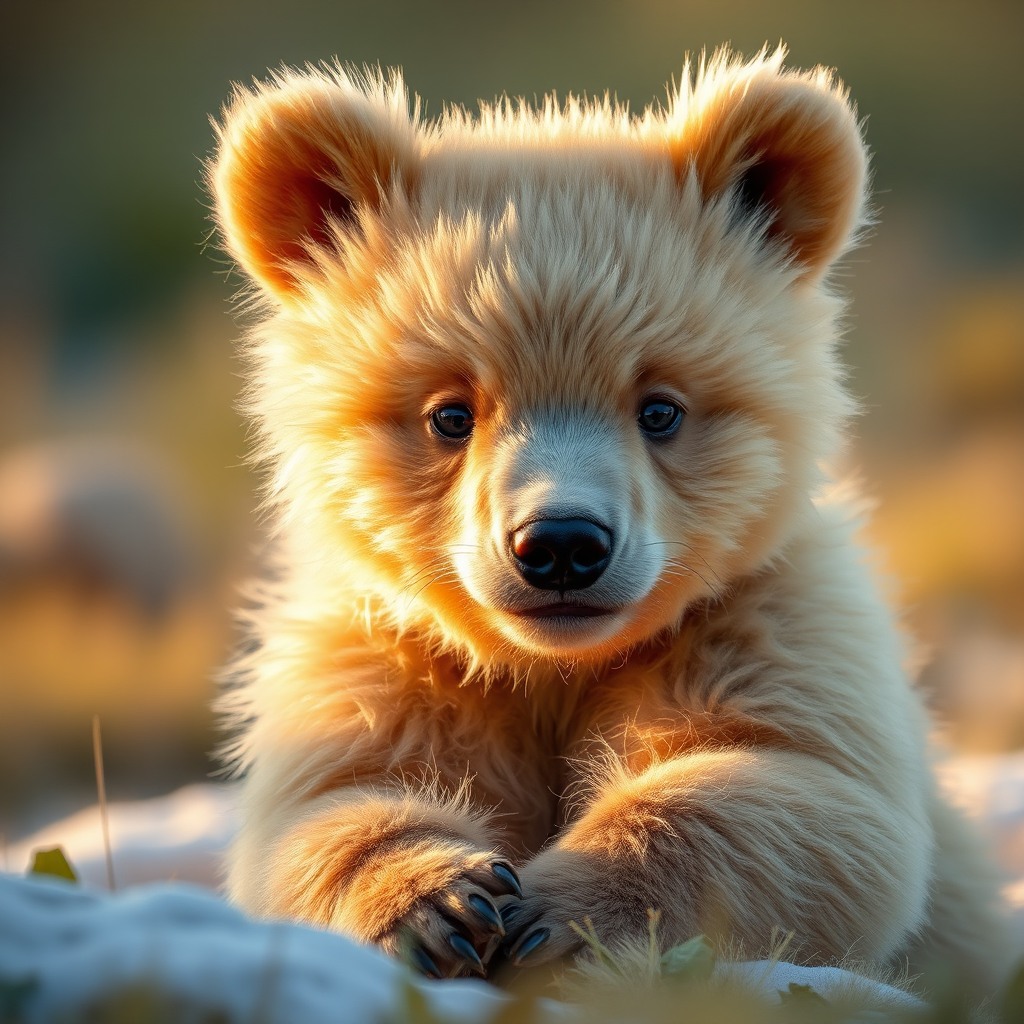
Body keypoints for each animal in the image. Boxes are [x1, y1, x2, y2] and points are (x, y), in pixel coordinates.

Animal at [209, 47, 1011, 994]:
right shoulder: (387, 653)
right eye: (451, 412)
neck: (555, 668)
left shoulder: (763, 618)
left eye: (660, 407)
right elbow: (329, 802)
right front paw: (440, 904)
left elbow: (808, 793)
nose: (560, 544)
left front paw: (554, 913)